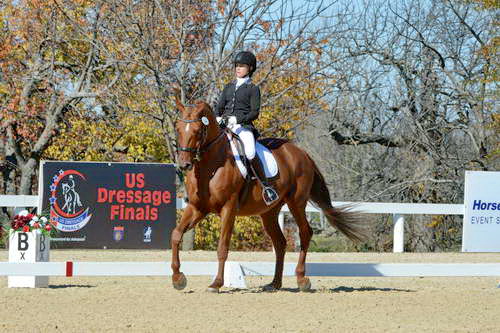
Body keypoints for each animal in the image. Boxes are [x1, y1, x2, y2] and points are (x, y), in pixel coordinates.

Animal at [170, 100, 366, 290]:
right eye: (177, 128)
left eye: (197, 131)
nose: (184, 165)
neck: (211, 166)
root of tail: (302, 153)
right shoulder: (197, 207)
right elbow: (176, 234)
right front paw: (178, 279)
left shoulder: (228, 208)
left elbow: (222, 247)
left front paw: (216, 283)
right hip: (269, 212)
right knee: (280, 243)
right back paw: (274, 284)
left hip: (296, 202)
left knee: (305, 233)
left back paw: (302, 280)